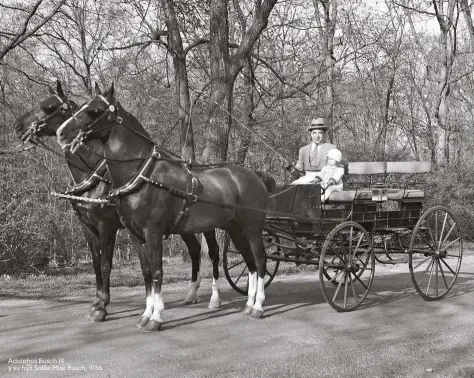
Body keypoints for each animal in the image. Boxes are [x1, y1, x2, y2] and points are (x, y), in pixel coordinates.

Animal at [14, 81, 222, 320]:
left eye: (49, 106)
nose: (18, 126)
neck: (94, 174)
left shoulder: (107, 225)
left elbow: (106, 264)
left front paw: (102, 306)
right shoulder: (88, 226)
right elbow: (96, 264)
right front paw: (97, 302)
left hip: (206, 225)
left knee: (213, 252)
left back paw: (214, 298)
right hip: (183, 225)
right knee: (195, 250)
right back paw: (191, 294)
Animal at [57, 83, 268, 330]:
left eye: (95, 110)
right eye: (80, 106)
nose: (61, 132)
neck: (141, 174)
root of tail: (254, 176)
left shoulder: (152, 232)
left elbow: (157, 271)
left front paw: (156, 317)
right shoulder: (135, 235)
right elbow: (147, 272)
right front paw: (145, 314)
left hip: (252, 228)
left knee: (260, 260)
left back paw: (258, 306)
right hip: (235, 229)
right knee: (250, 262)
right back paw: (248, 305)